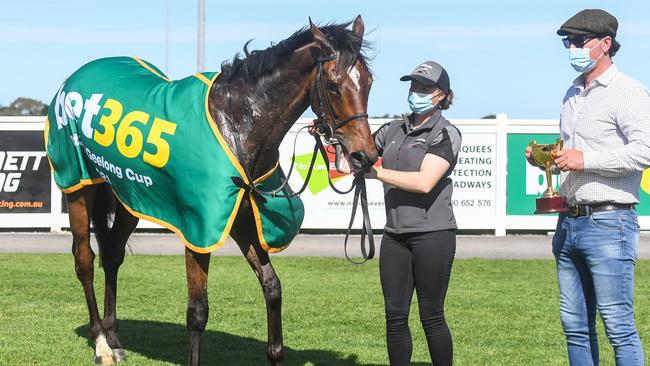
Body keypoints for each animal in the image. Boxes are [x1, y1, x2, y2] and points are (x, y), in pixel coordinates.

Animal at [53, 15, 378, 366]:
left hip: (131, 197)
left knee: (112, 255)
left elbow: (273, 288)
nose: (364, 156)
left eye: (369, 81)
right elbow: (197, 311)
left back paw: (114, 339)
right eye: (332, 83)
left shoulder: (244, 218)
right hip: (78, 188)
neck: (236, 127)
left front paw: (275, 351)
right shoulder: (199, 227)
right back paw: (101, 343)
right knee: (85, 261)